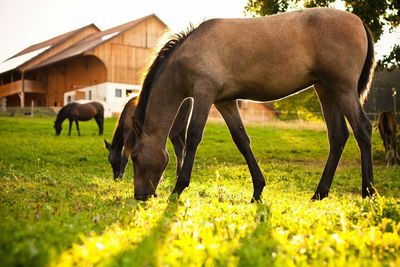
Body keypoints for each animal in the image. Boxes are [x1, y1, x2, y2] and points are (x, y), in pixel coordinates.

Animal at [130, 7, 376, 202]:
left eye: (134, 157)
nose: (140, 196)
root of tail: (358, 21)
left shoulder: (204, 94)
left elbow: (193, 137)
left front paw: (178, 188)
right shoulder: (225, 102)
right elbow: (242, 140)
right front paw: (258, 190)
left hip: (343, 88)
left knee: (362, 130)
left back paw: (369, 191)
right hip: (326, 90)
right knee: (338, 136)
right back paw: (319, 193)